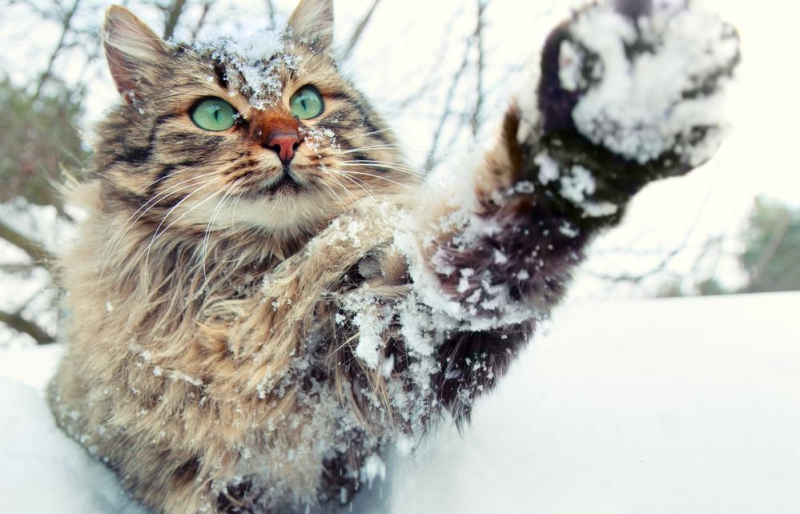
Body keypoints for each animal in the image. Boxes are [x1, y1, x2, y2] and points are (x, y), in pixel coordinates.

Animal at [48, 0, 736, 510]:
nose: (287, 141)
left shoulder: (389, 345)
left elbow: (485, 255)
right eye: (214, 114)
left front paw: (598, 132)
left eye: (306, 102)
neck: (250, 283)